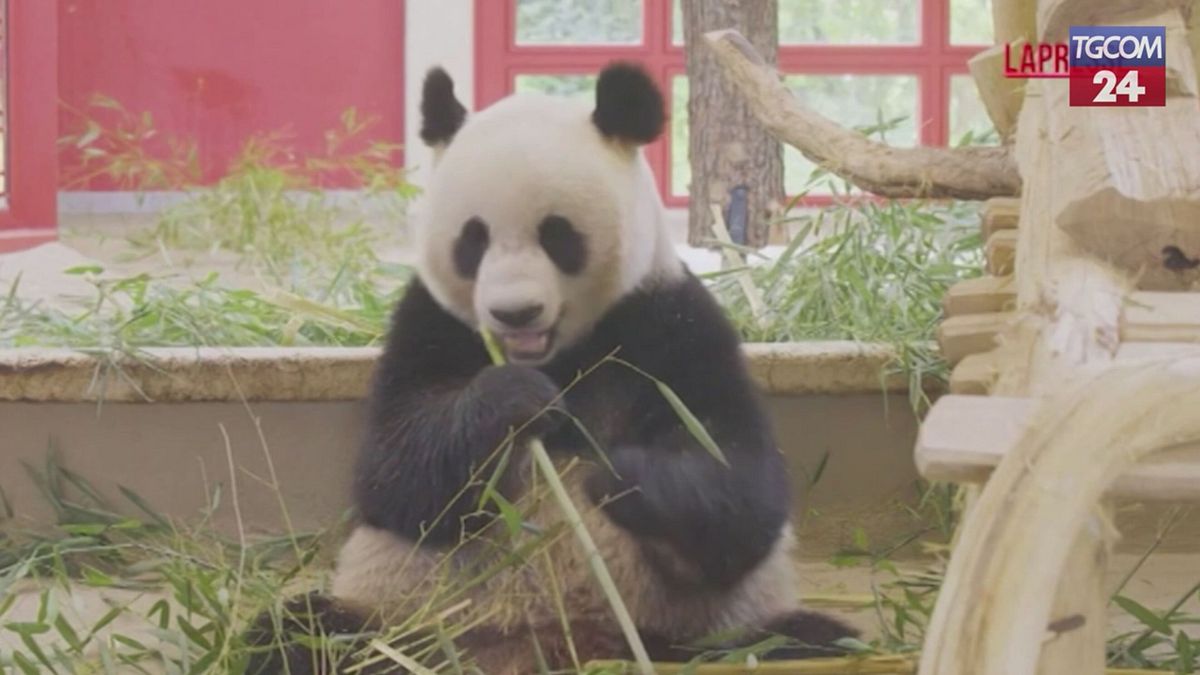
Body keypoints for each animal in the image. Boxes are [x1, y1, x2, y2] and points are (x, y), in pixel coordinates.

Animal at [246, 62, 857, 674]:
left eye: (557, 235)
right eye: (473, 239)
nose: (515, 312)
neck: (557, 356)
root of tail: (560, 643)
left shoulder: (667, 324)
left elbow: (739, 483)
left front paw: (621, 477)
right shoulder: (429, 325)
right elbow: (396, 475)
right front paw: (515, 401)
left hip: (708, 631)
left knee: (804, 640)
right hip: (405, 621)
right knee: (299, 634)